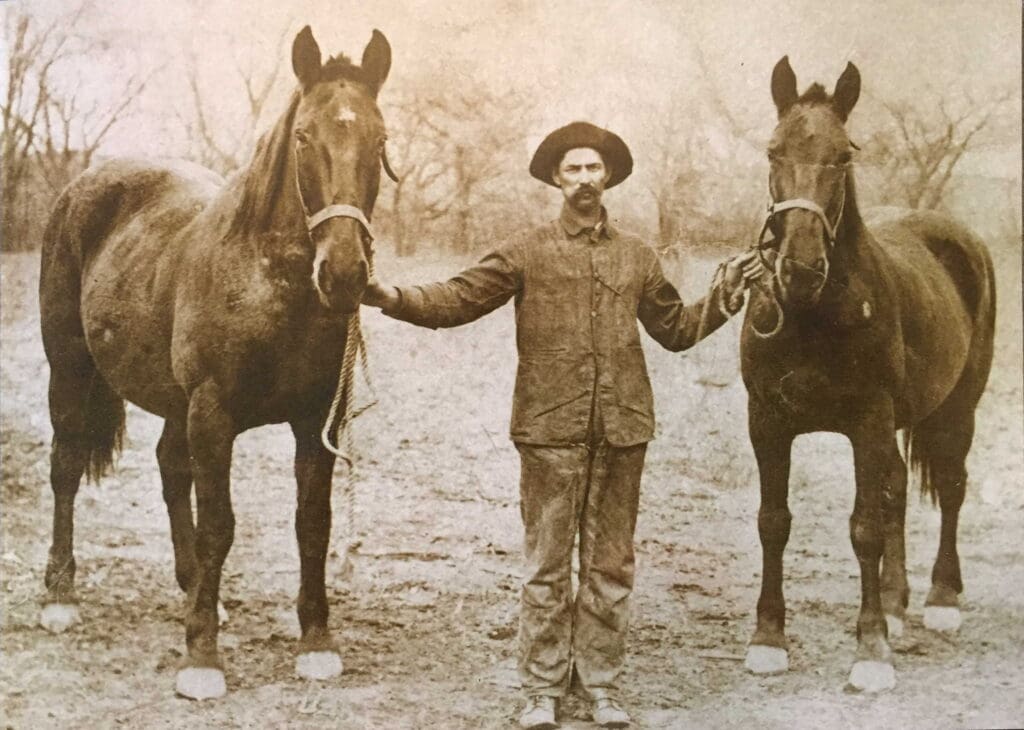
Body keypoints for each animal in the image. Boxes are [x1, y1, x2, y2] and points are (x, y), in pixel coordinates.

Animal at [37, 25, 394, 700]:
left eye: (380, 138)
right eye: (303, 136)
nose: (343, 274)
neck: (268, 283)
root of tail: (83, 184)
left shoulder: (315, 420)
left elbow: (312, 523)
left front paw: (316, 643)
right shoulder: (212, 413)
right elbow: (219, 526)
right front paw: (202, 657)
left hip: (172, 402)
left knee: (169, 469)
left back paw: (193, 590)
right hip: (69, 370)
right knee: (66, 466)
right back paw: (60, 596)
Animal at [739, 57, 995, 692]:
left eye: (843, 156)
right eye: (773, 150)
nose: (801, 269)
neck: (813, 314)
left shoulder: (868, 422)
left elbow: (865, 529)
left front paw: (872, 649)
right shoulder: (767, 423)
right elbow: (773, 521)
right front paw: (768, 639)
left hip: (959, 408)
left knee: (950, 487)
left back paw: (940, 600)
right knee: (898, 489)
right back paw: (897, 602)